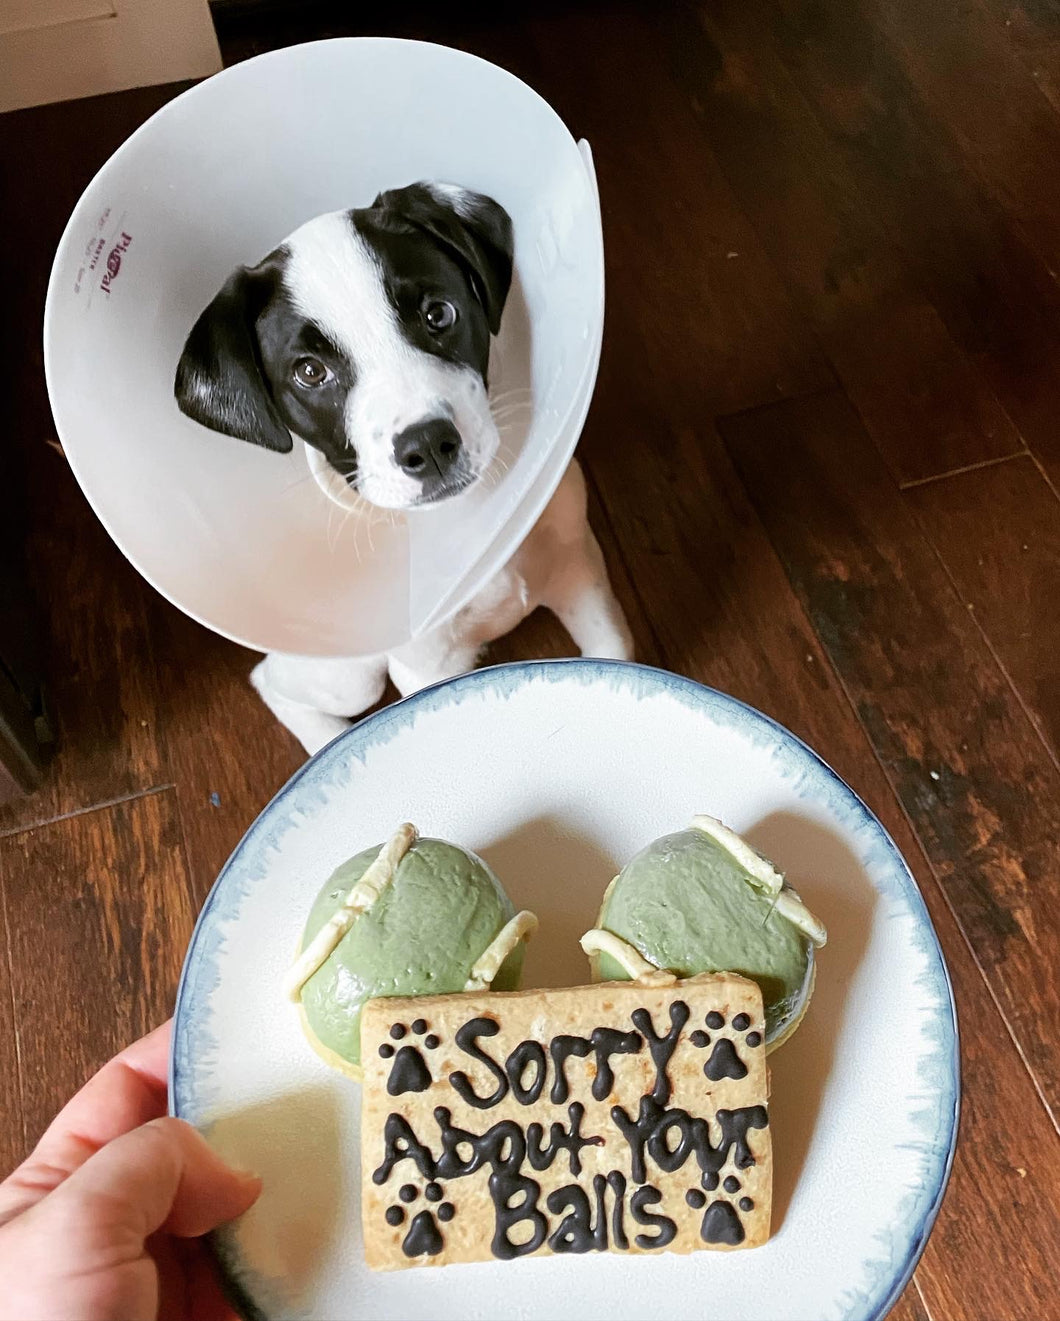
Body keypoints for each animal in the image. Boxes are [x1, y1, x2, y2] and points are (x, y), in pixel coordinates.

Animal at [177, 183, 631, 755]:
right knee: (271, 682)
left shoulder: (579, 568)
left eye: (438, 314)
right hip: (352, 676)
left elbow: (618, 659)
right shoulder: (426, 670)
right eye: (310, 372)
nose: (429, 446)